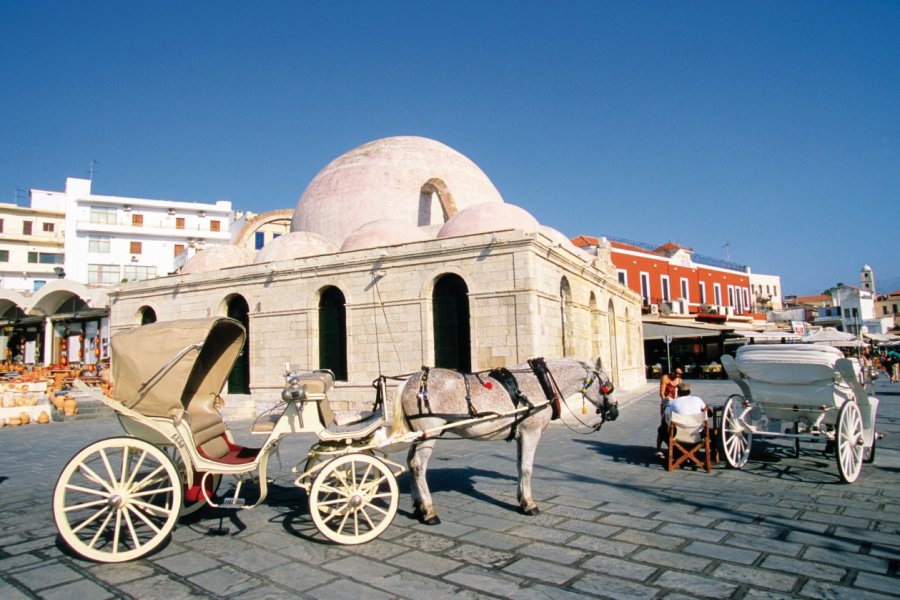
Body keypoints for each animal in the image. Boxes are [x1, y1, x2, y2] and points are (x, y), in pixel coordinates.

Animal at [390, 358, 616, 524]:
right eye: (608, 386)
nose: (614, 412)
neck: (539, 383)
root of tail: (409, 382)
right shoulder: (531, 432)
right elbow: (527, 468)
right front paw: (529, 505)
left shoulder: (520, 434)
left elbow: (519, 467)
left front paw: (521, 500)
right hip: (429, 432)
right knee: (418, 465)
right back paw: (429, 512)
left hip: (420, 435)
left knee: (410, 462)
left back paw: (418, 506)